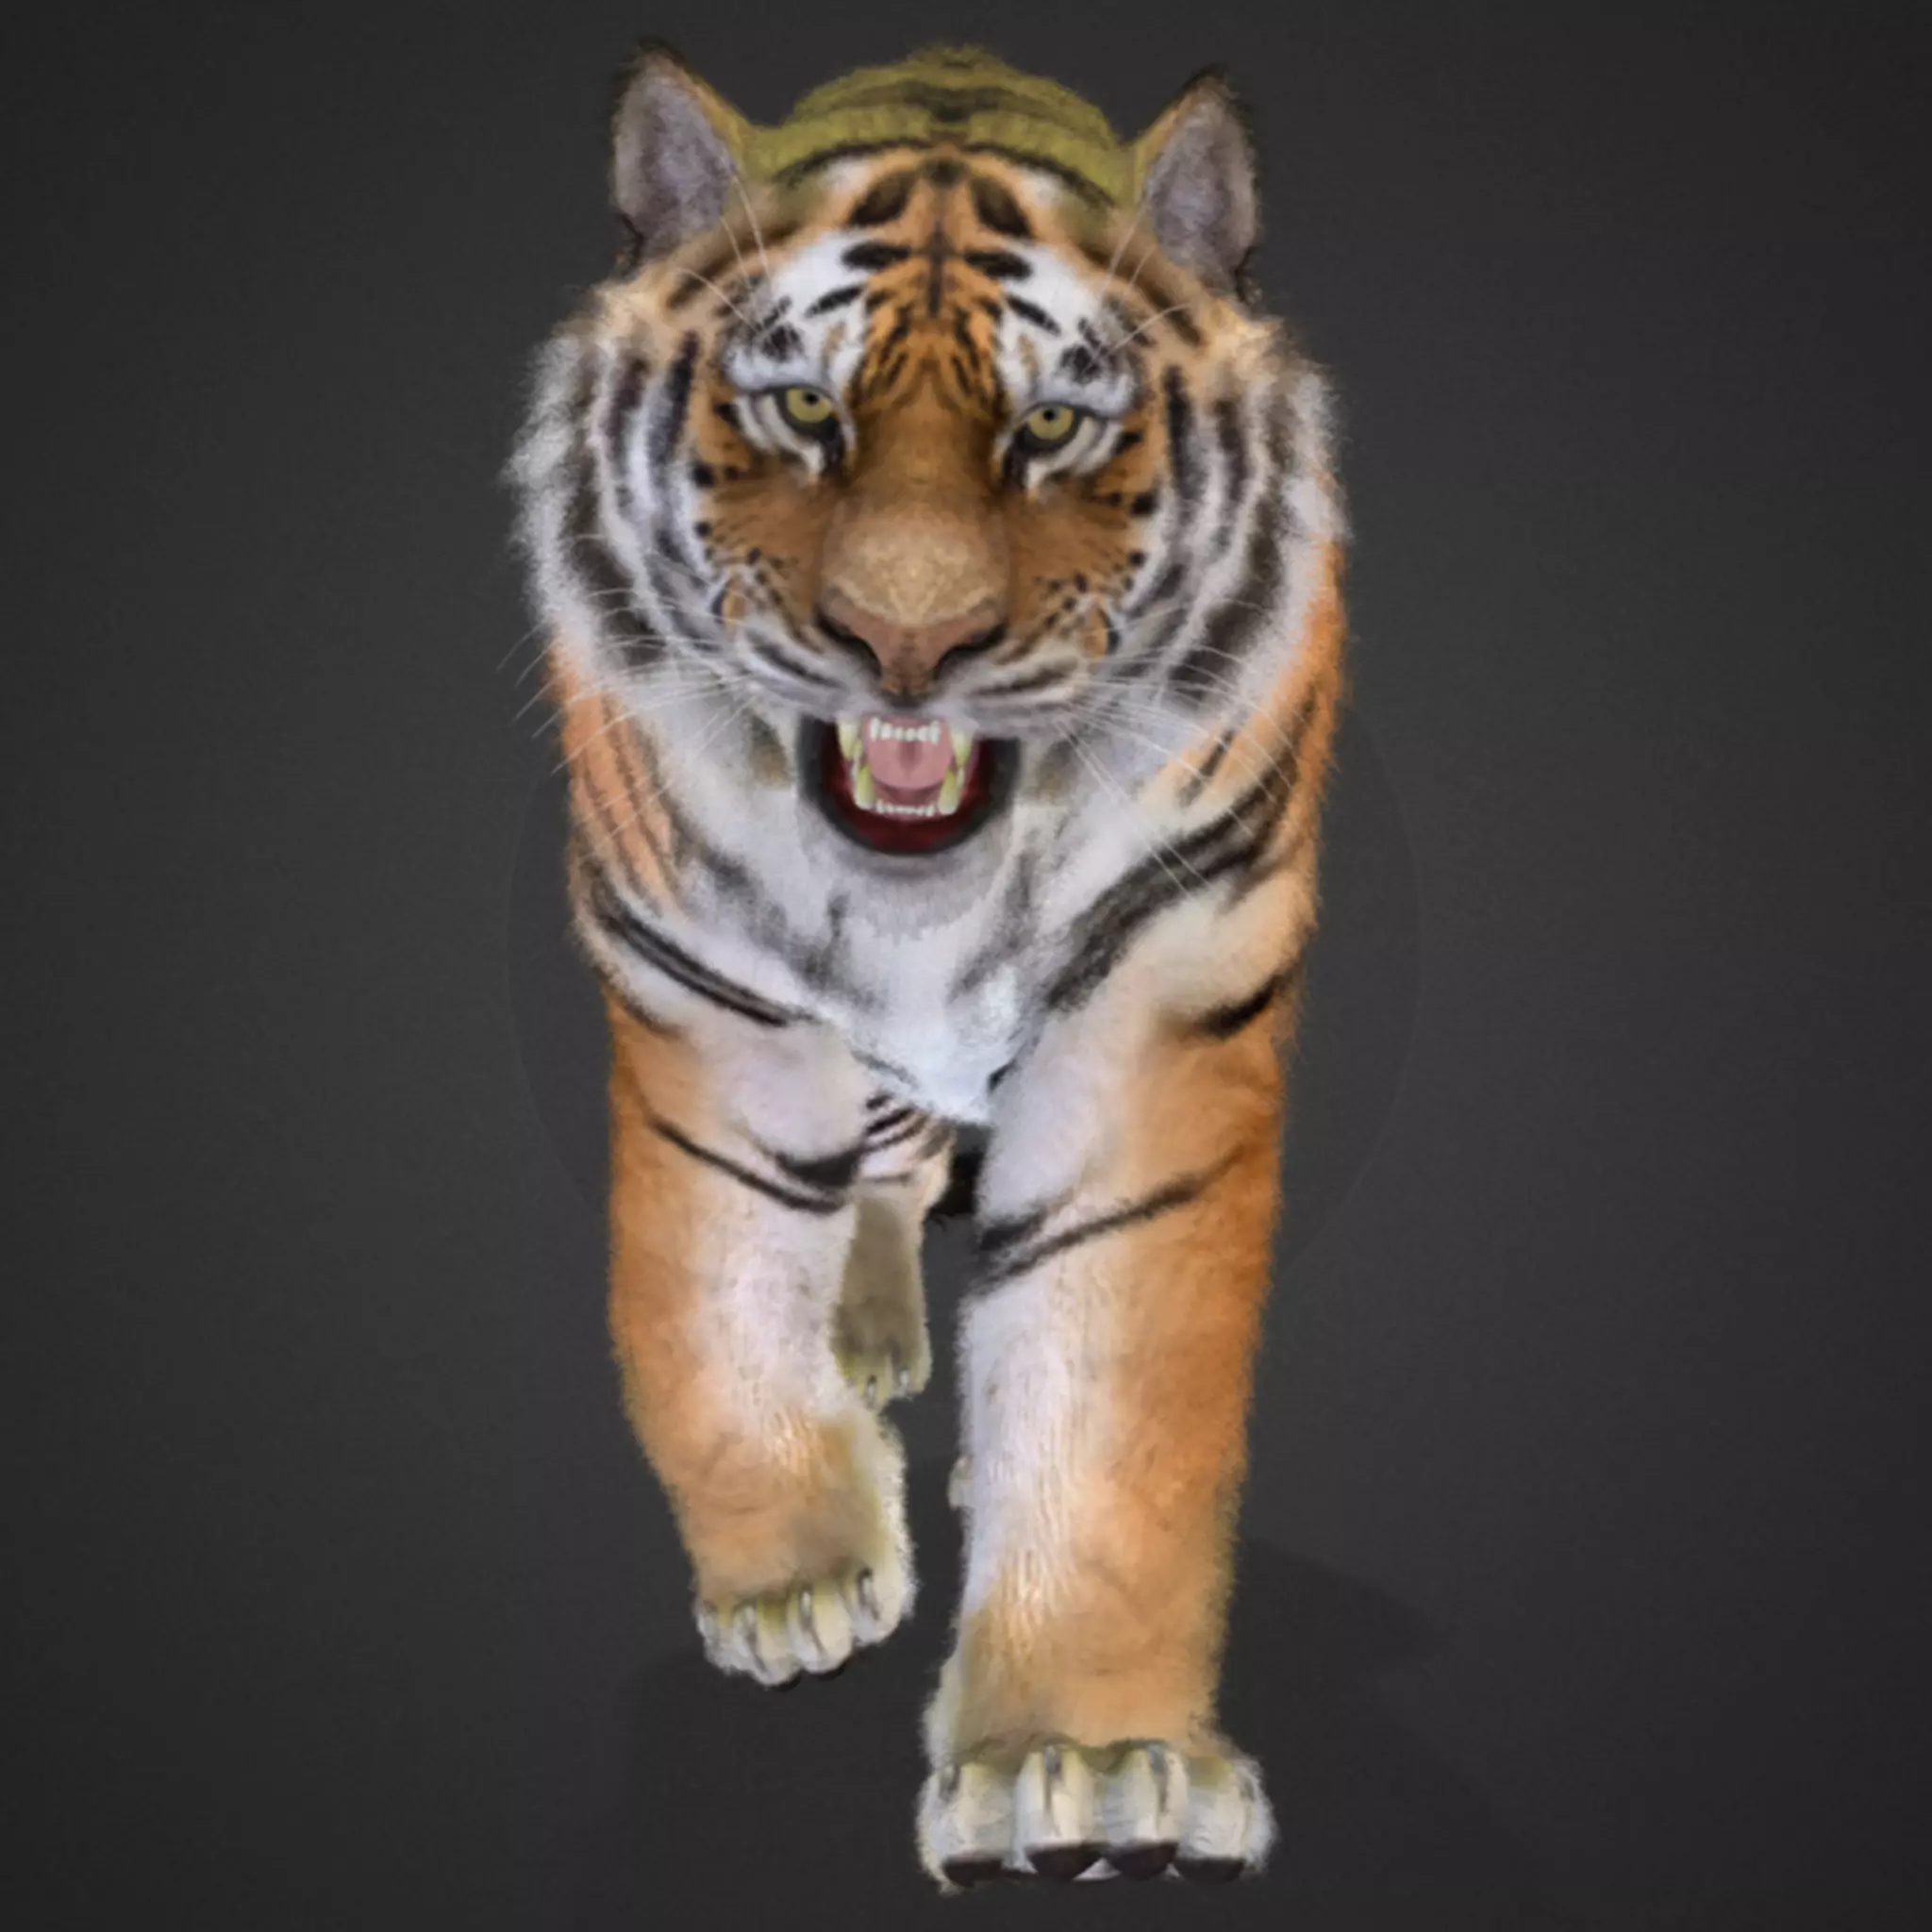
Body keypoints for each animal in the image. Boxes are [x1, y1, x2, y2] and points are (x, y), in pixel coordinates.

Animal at [510, 42, 1346, 1888]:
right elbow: (715, 1310)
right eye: (800, 412)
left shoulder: (1158, 1011)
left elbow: (1109, 1407)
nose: (906, 644)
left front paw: (1089, 1770)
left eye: (1051, 425)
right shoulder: (711, 1006)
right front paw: (798, 1581)